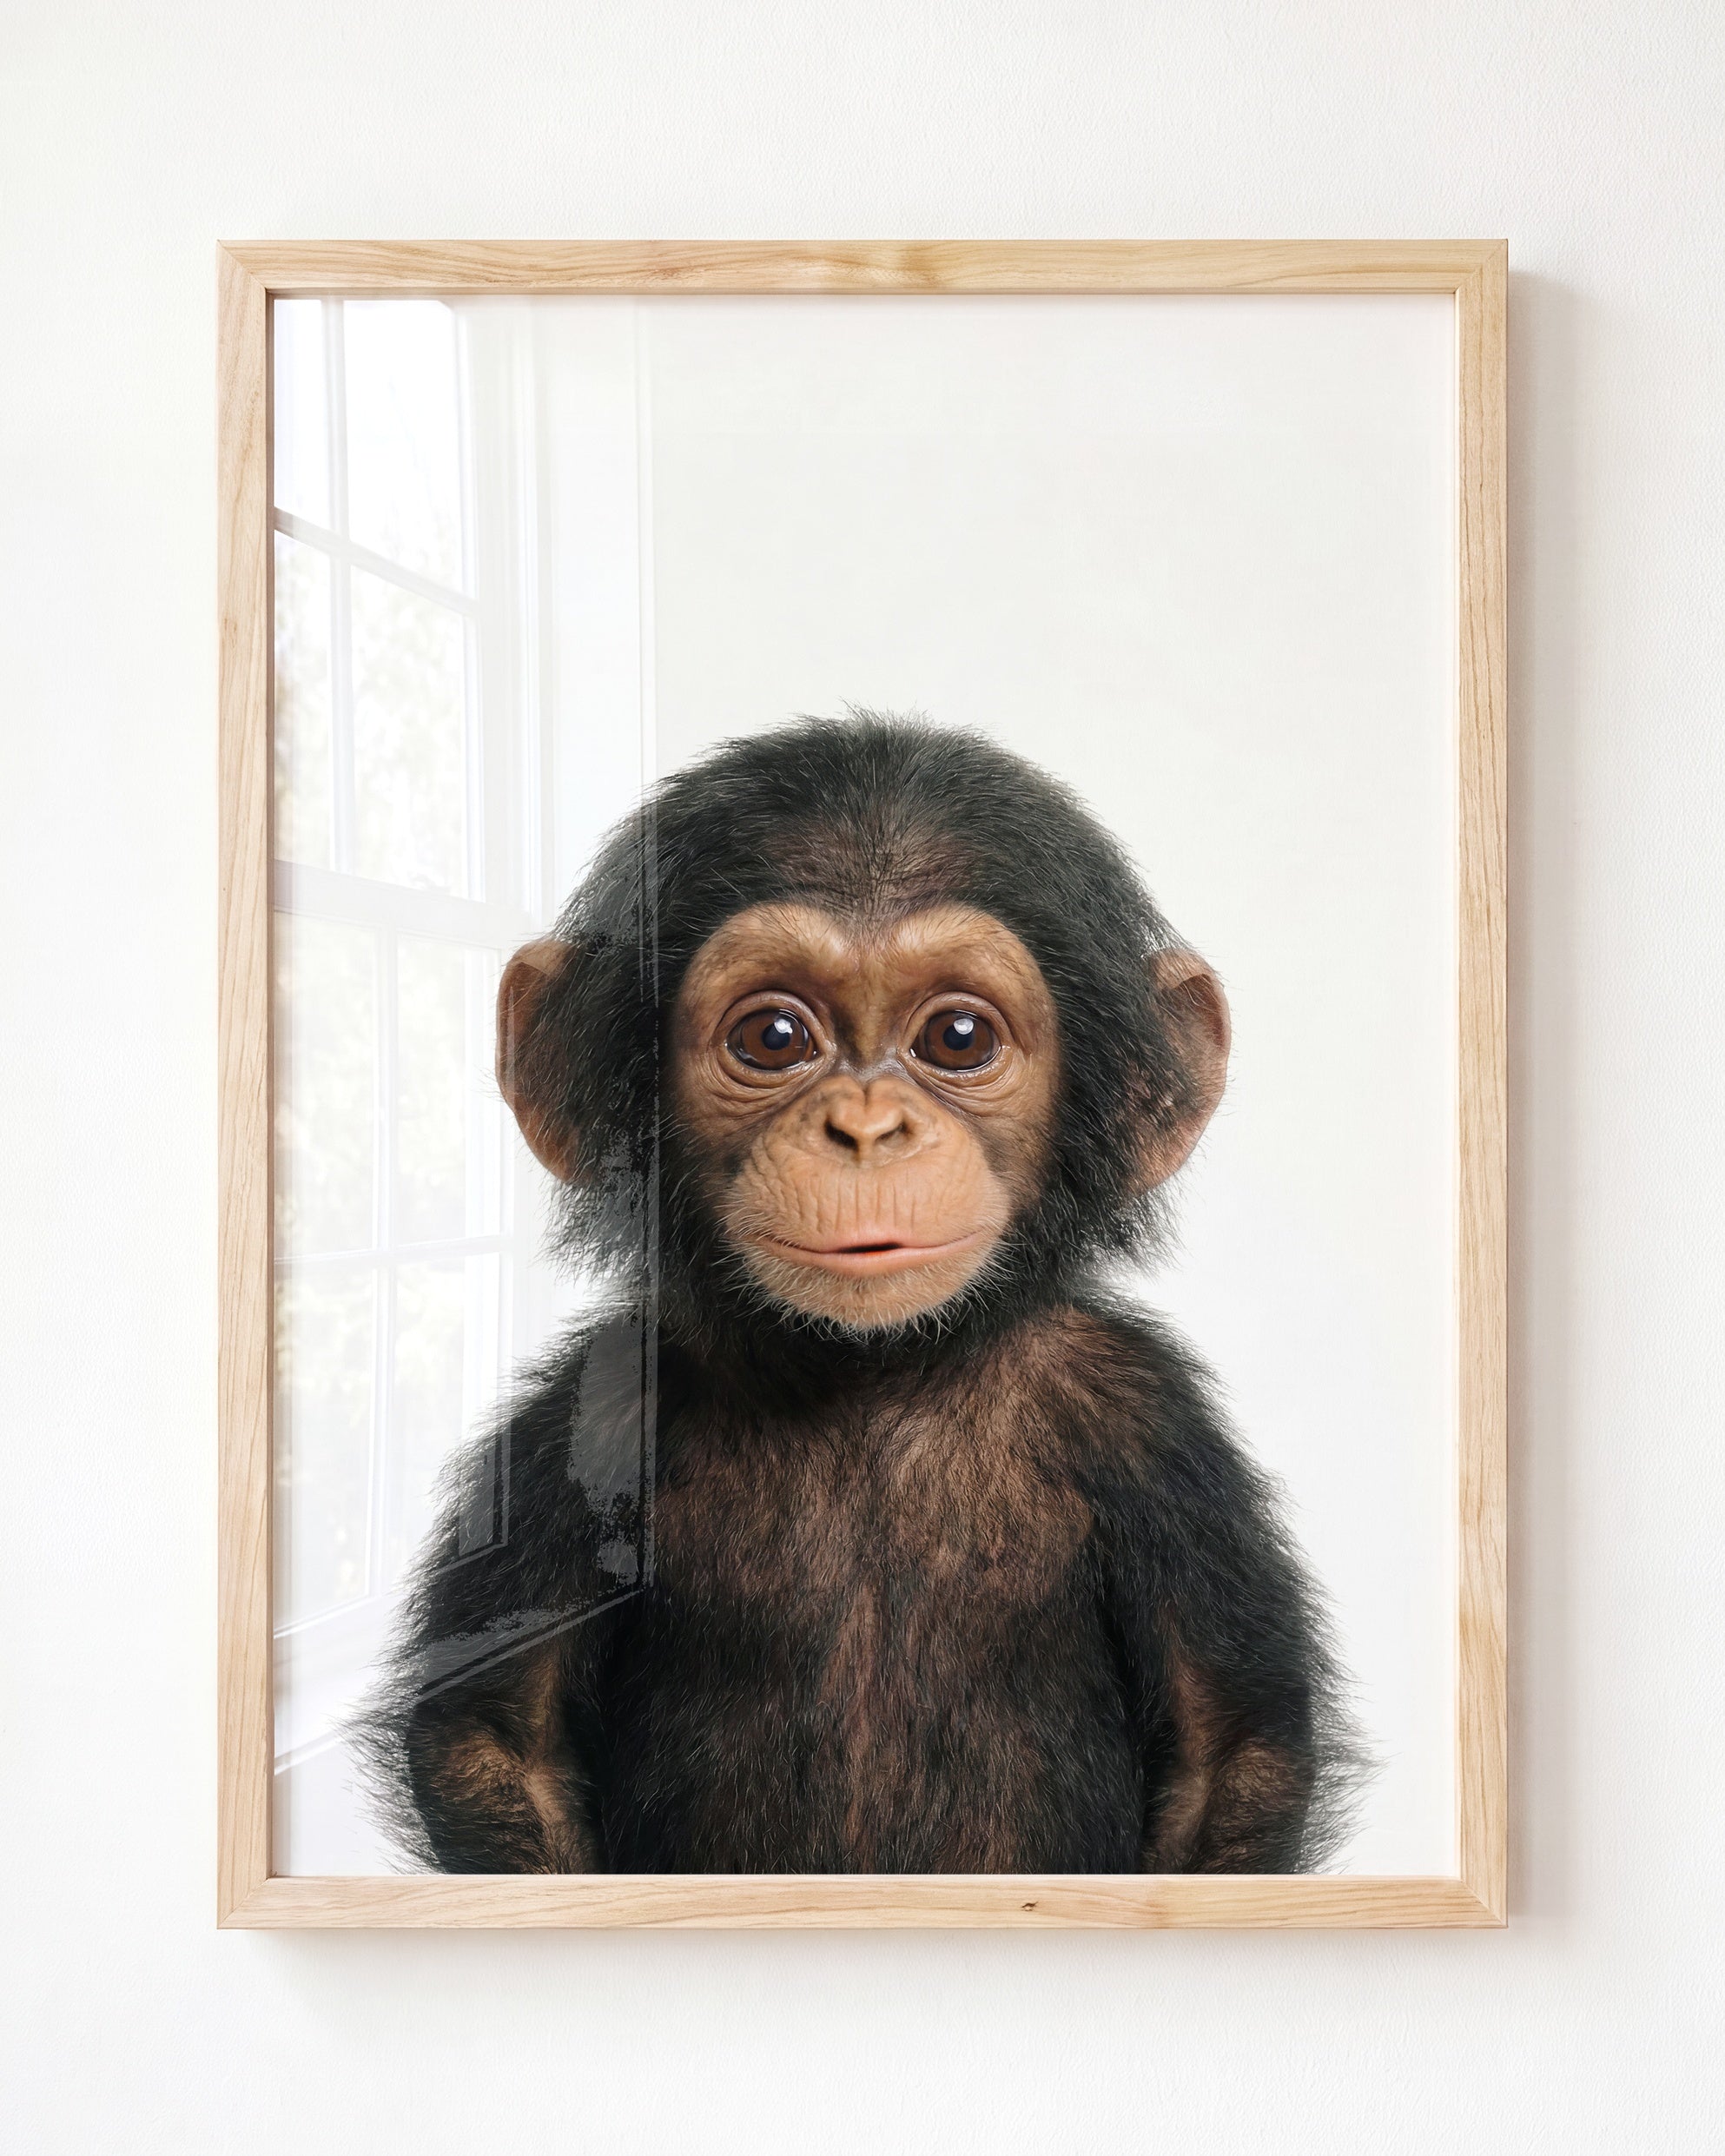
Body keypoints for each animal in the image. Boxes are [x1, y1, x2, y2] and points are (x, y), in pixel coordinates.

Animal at [359, 713, 1364, 1874]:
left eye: (958, 1038)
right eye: (774, 1037)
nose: (867, 1127)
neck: (871, 1374)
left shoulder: (1151, 1424)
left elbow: (1228, 1746)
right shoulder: (587, 1417)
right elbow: (496, 1735)